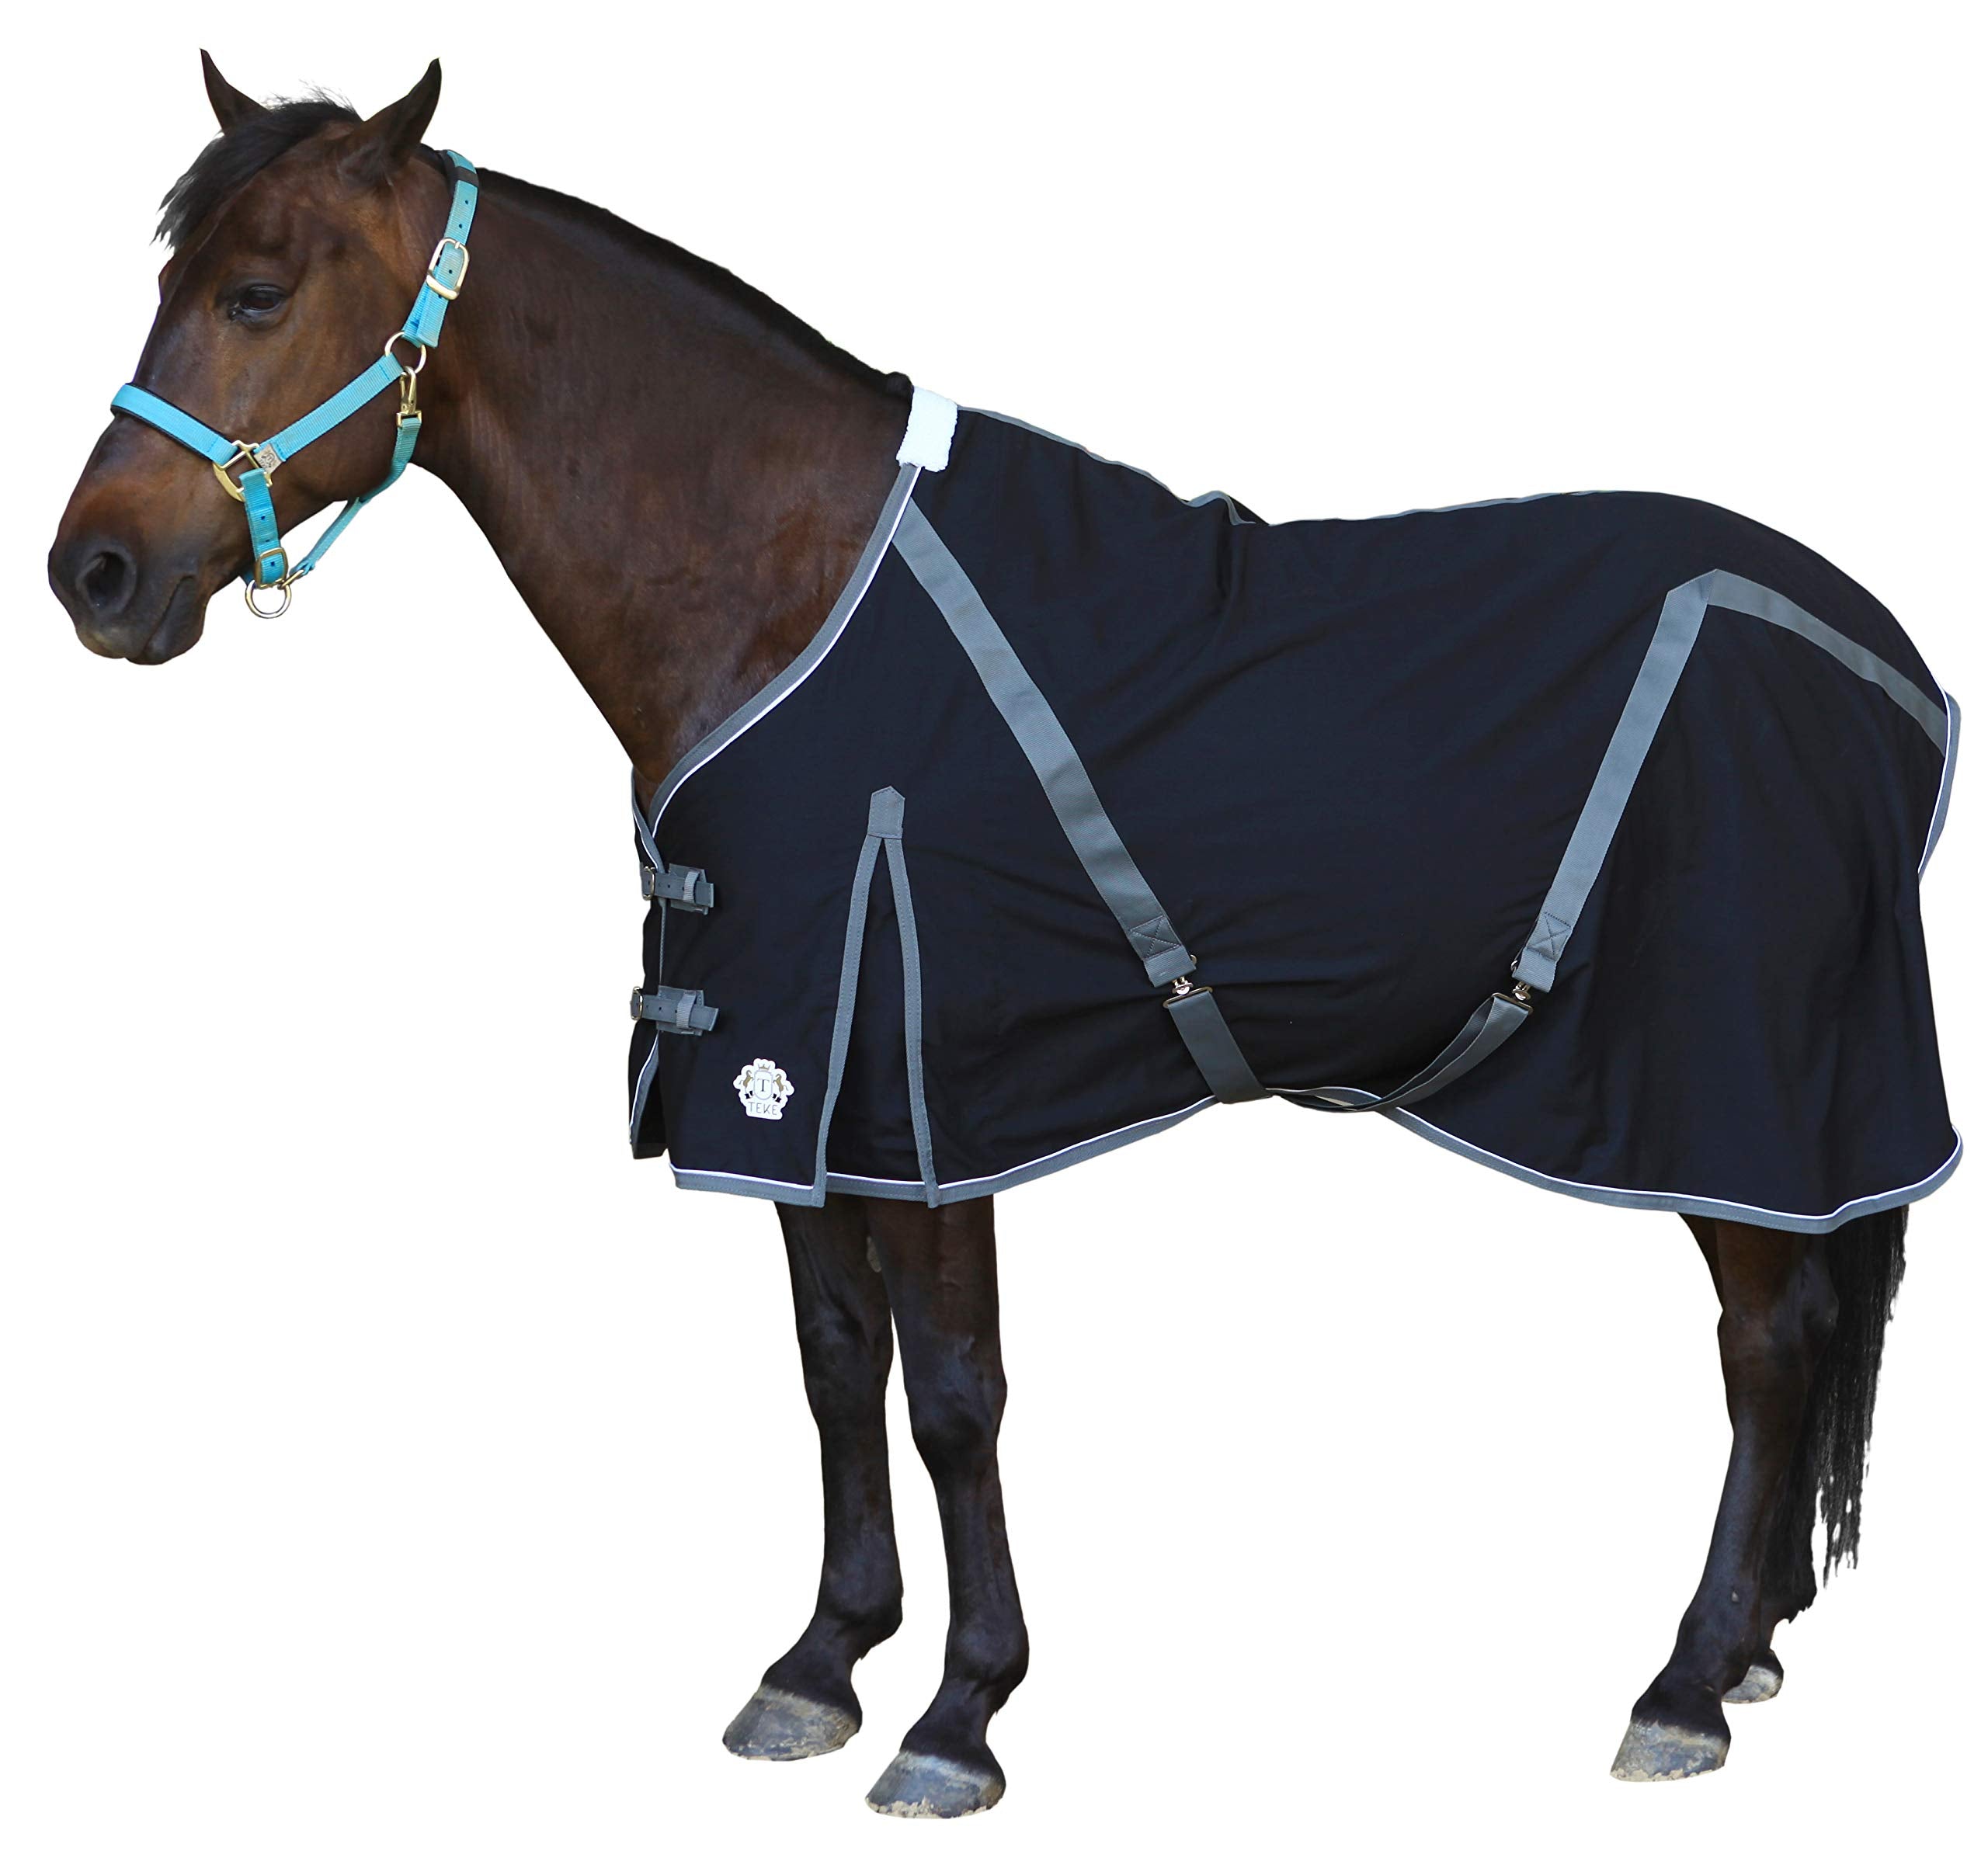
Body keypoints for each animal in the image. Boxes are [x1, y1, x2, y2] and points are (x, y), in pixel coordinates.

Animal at [48, 58, 1956, 1816]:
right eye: (172, 277)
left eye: (256, 292)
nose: (94, 577)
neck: (785, 588)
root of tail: (1889, 662)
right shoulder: (784, 1076)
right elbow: (837, 1372)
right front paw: (820, 1660)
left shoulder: (912, 1082)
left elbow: (955, 1392)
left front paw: (959, 1714)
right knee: (1790, 1339)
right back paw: (1752, 1645)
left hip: (1726, 1086)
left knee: (1767, 1344)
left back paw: (1687, 1681)